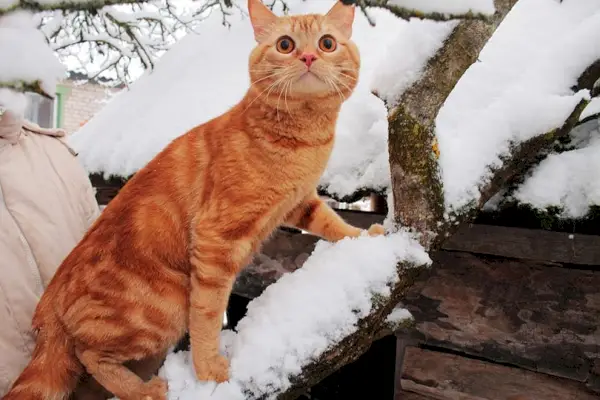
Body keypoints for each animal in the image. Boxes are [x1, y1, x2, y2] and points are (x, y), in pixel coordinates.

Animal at [4, 0, 384, 400]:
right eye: (285, 45)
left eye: (327, 43)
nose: (309, 56)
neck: (305, 138)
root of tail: (49, 305)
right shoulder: (215, 239)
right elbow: (207, 315)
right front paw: (208, 369)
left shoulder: (299, 201)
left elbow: (329, 221)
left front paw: (362, 236)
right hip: (168, 303)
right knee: (88, 354)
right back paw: (144, 390)